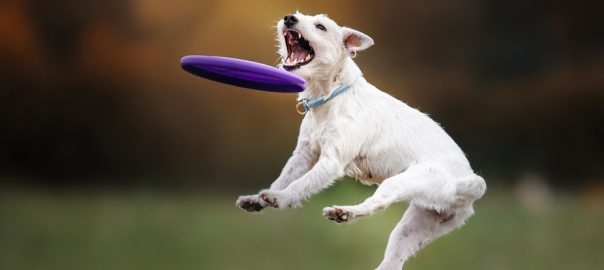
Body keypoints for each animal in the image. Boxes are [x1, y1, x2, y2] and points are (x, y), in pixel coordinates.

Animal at [236, 12, 486, 270]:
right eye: (298, 15)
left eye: (321, 26)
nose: (289, 19)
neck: (330, 96)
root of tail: (463, 184)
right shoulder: (303, 156)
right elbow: (281, 180)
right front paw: (257, 199)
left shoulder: (330, 162)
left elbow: (299, 185)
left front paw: (280, 198)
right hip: (416, 227)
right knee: (392, 259)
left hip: (404, 181)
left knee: (377, 203)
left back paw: (344, 212)